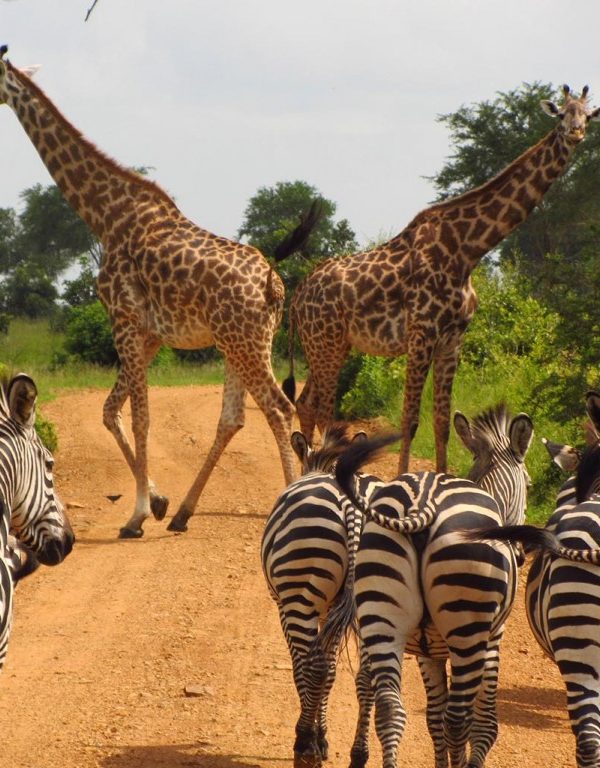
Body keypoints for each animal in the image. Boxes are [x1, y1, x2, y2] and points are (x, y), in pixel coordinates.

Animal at [0, 47, 320, 538]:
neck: (106, 216)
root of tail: (273, 282)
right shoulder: (150, 335)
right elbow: (111, 411)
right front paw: (157, 501)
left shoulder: (125, 322)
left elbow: (140, 418)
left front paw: (135, 516)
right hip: (241, 343)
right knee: (234, 418)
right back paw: (184, 512)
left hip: (244, 343)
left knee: (279, 409)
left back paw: (286, 500)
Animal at [261, 424, 385, 768]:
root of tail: (351, 505)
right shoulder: (332, 610)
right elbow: (330, 671)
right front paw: (324, 736)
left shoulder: (285, 606)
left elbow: (303, 669)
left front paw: (314, 737)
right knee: (367, 676)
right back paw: (359, 755)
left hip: (300, 594)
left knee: (313, 669)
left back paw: (303, 745)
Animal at [284, 84, 600, 474]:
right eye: (562, 114)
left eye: (587, 115)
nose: (575, 133)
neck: (467, 250)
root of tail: (297, 297)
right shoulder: (421, 334)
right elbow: (409, 419)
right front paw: (404, 478)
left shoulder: (452, 339)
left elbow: (442, 420)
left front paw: (444, 476)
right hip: (325, 343)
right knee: (323, 409)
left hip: (329, 344)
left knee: (305, 402)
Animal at [334, 404, 533, 768]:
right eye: (528, 482)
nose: (521, 556)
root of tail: (423, 502)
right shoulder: (492, 640)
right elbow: (482, 724)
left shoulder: (429, 652)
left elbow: (432, 717)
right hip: (467, 627)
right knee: (457, 719)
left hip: (383, 616)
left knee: (391, 709)